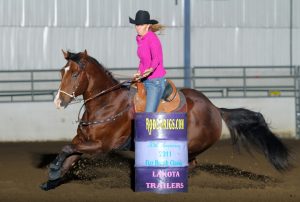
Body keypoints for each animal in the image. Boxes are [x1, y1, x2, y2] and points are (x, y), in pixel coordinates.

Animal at [40, 49, 290, 190]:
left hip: (189, 145)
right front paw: (52, 179)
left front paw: (53, 169)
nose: (58, 102)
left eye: (75, 73)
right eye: (61, 72)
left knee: (188, 165)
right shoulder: (84, 142)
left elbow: (66, 149)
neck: (106, 103)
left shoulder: (101, 145)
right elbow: (70, 154)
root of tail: (215, 108)